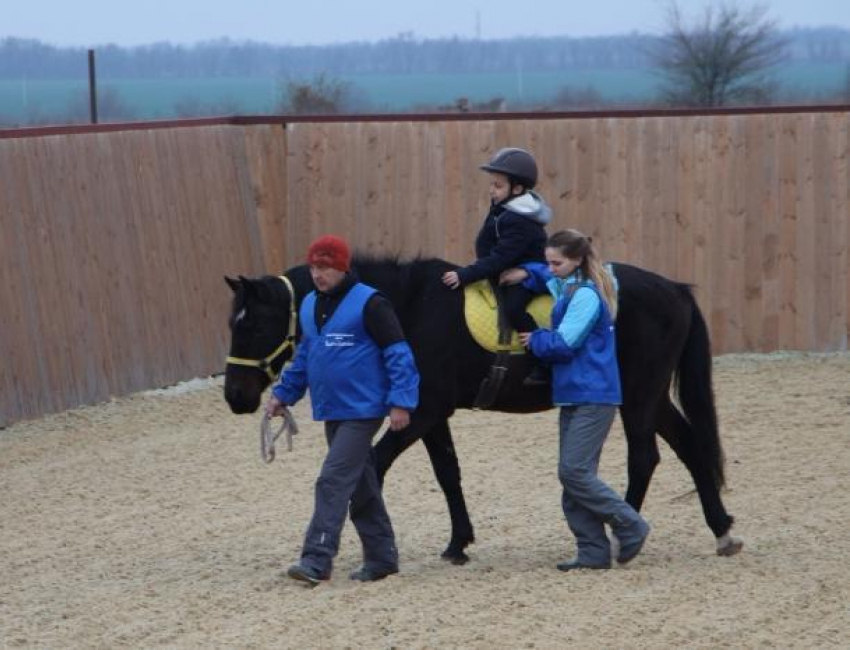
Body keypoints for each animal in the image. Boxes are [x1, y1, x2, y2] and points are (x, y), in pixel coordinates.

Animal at [224, 256, 744, 560]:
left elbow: (375, 462)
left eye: (253, 326)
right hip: (650, 396)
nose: (235, 396)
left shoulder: (423, 411)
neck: (407, 305)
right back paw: (720, 529)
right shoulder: (432, 415)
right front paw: (458, 543)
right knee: (691, 448)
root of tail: (674, 289)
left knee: (644, 458)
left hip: (638, 393)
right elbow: (447, 473)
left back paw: (623, 536)